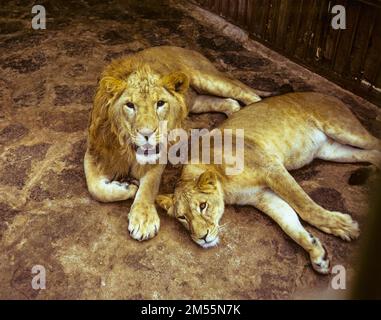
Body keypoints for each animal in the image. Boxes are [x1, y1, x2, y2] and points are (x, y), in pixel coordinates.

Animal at [84, 45, 262, 240]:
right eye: (130, 105)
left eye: (160, 103)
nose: (147, 134)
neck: (128, 148)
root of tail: (180, 47)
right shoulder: (95, 150)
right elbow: (95, 189)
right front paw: (126, 187)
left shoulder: (158, 154)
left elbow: (149, 186)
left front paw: (143, 218)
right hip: (195, 102)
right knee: (229, 103)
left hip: (208, 80)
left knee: (247, 94)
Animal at [155, 92, 380, 272]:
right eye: (182, 217)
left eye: (203, 206)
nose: (202, 238)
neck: (225, 186)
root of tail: (327, 94)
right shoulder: (263, 197)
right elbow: (289, 224)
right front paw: (317, 253)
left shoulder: (271, 168)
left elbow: (305, 206)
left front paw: (344, 226)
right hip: (332, 151)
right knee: (373, 154)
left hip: (343, 129)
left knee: (376, 143)